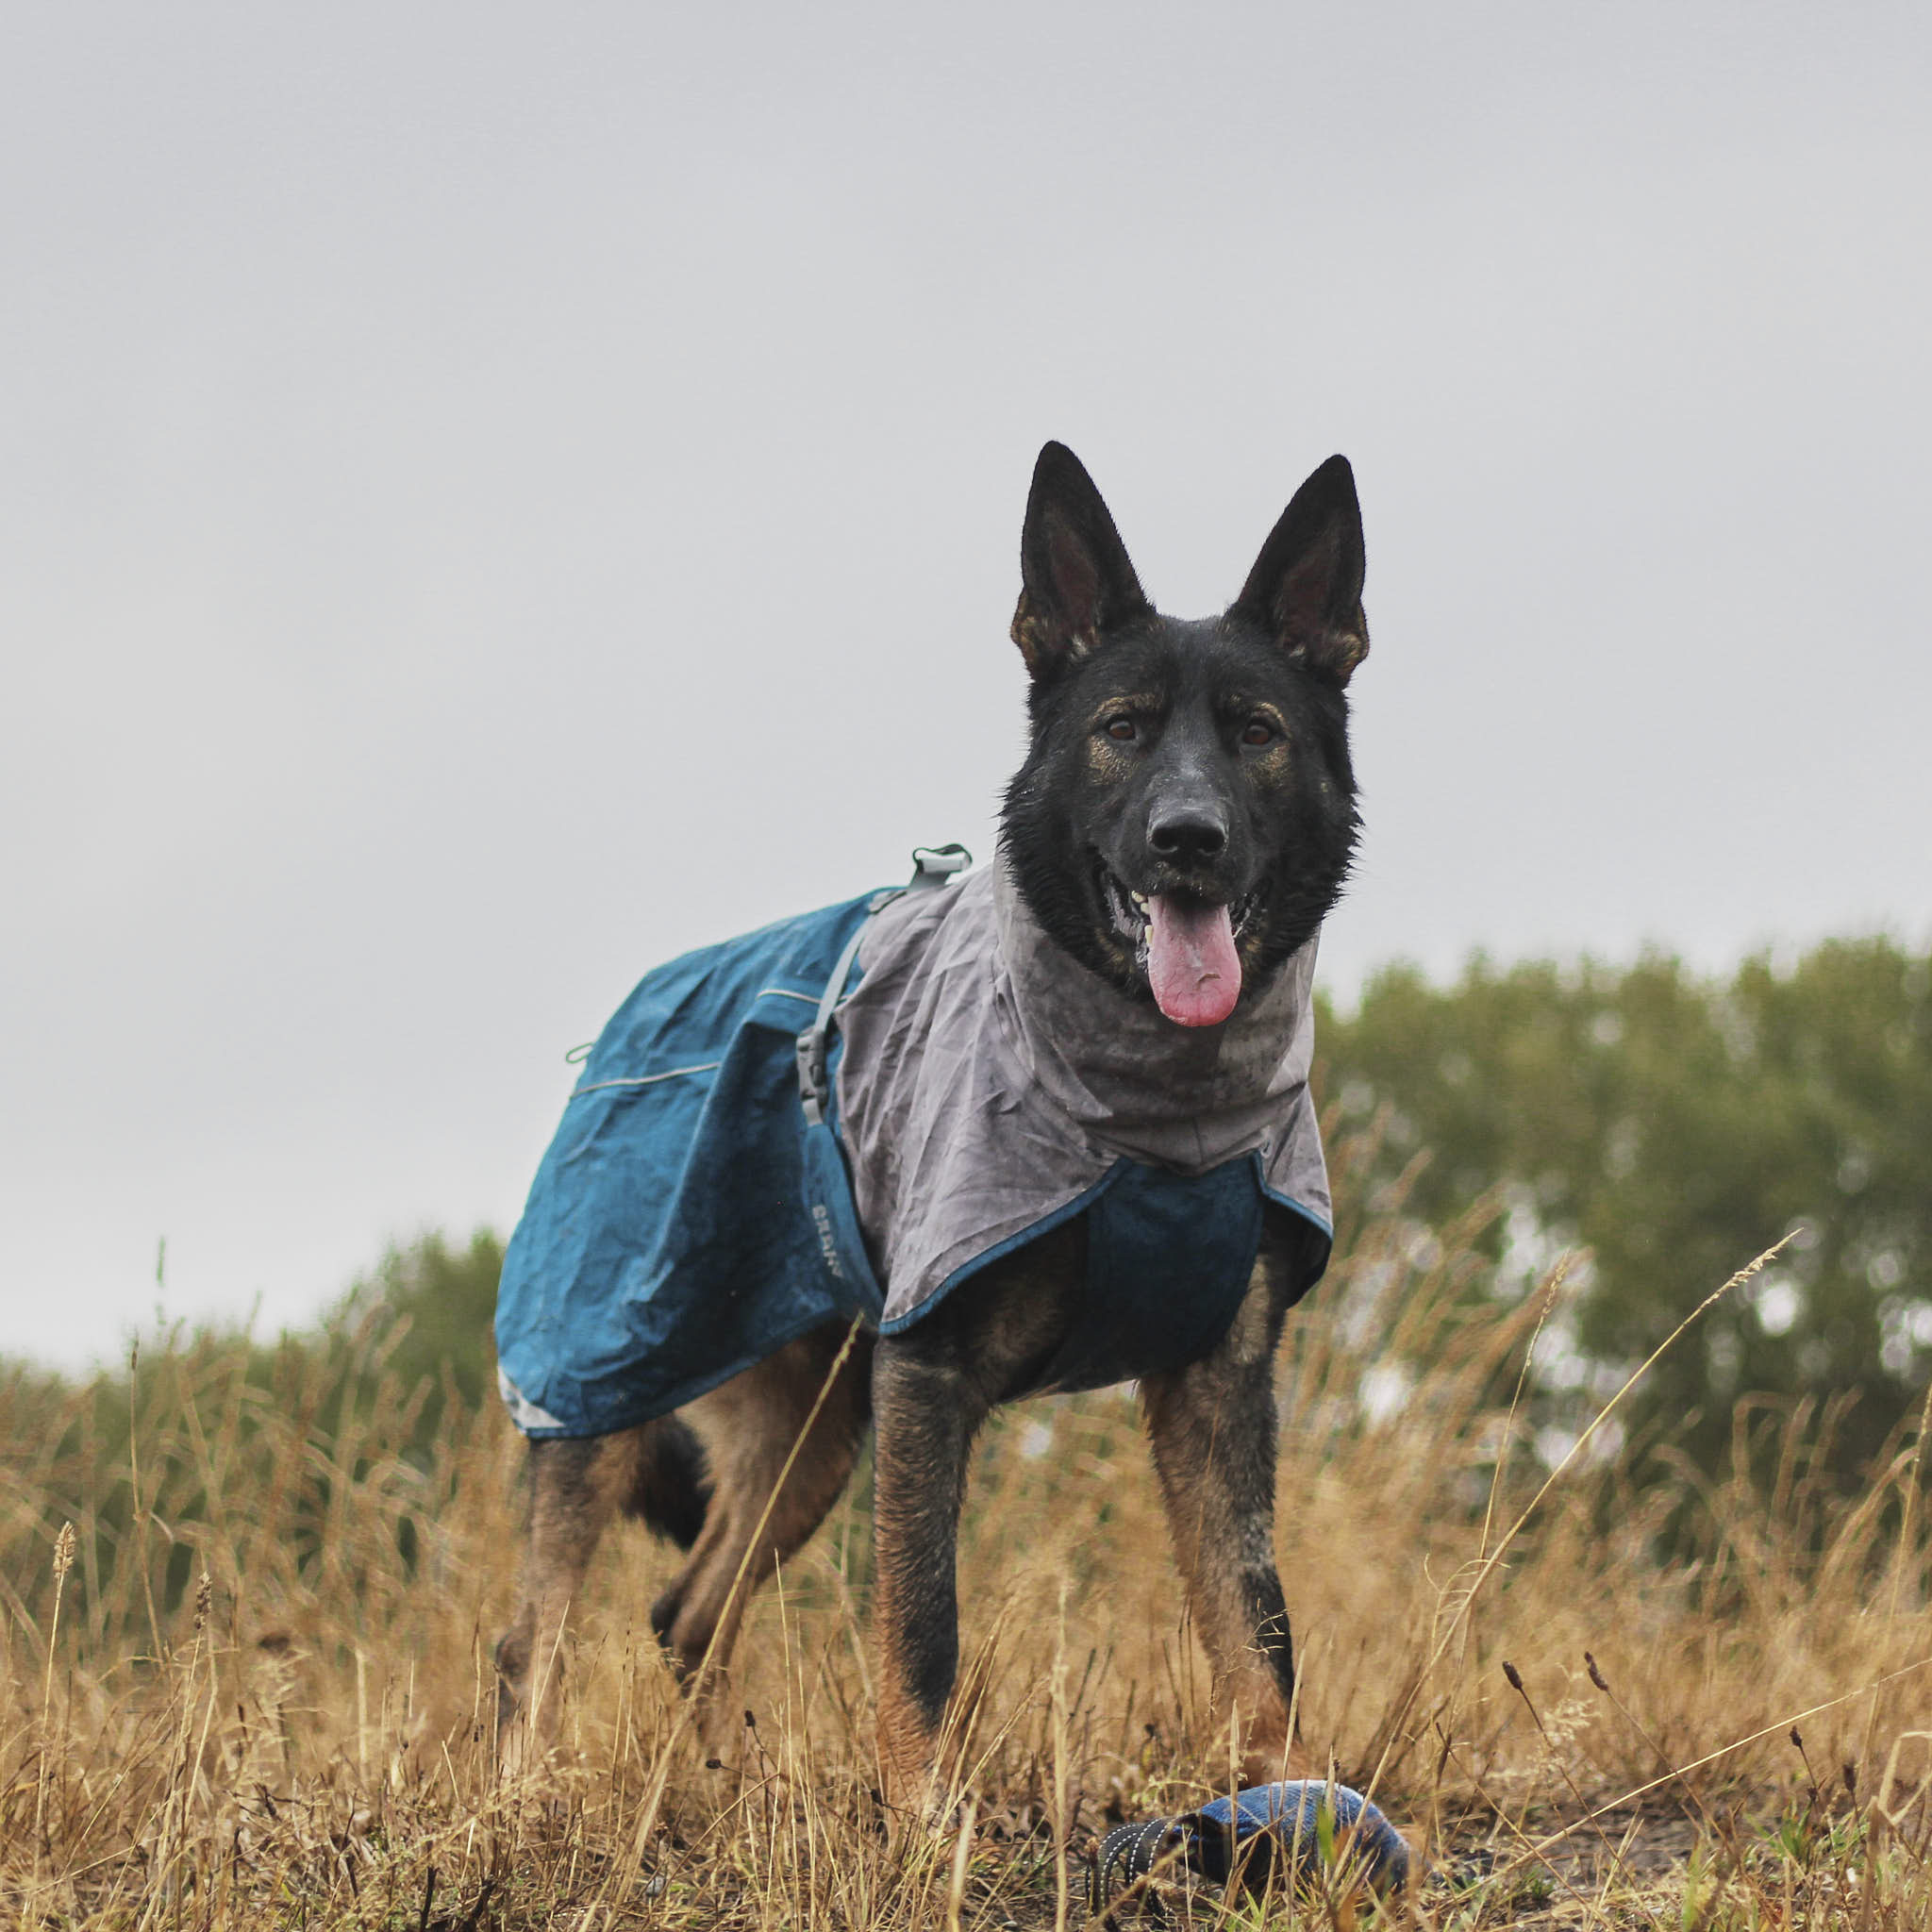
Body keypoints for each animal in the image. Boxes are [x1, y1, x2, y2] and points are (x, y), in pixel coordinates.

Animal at [491, 444, 1367, 1800]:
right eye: (1121, 730)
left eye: (1257, 734)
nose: (1188, 840)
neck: (1152, 1111)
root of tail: (622, 1026)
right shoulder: (930, 1373)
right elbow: (920, 1628)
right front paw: (920, 1817)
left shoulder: (1218, 1384)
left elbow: (1254, 1623)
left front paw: (1291, 1806)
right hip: (605, 1381)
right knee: (535, 1638)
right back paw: (528, 1798)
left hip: (810, 1434)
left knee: (688, 1612)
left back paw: (709, 1790)